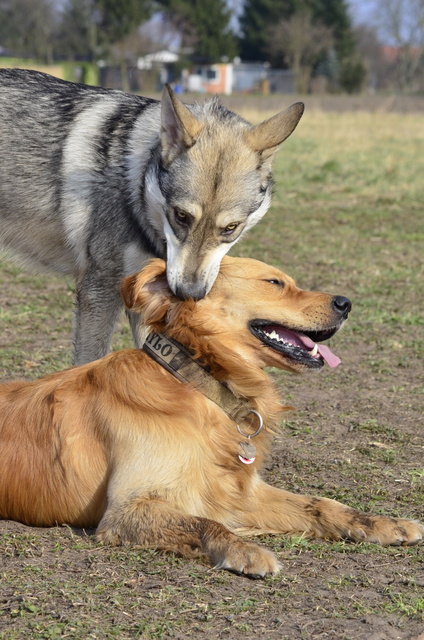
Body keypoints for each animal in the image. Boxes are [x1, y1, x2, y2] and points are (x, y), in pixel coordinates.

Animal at [0, 258, 422, 576]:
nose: (346, 303)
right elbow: (205, 522)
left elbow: (322, 504)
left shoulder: (237, 489)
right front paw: (246, 551)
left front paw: (383, 524)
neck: (196, 380)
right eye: (274, 282)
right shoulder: (127, 510)